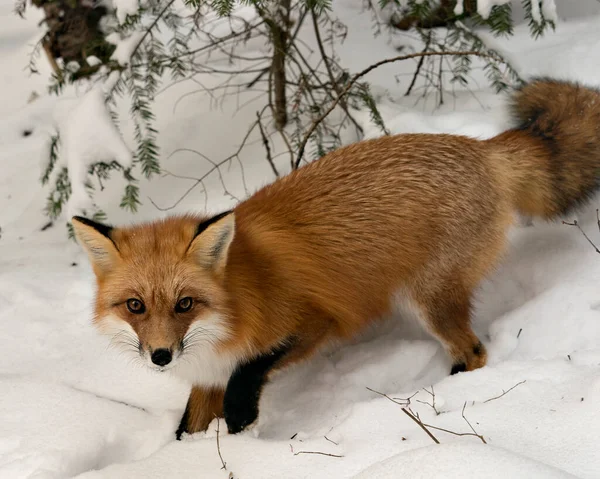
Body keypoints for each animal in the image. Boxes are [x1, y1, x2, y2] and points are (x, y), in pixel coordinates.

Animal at [72, 79, 600, 438]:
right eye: (135, 306)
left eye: (184, 304)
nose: (161, 356)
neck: (234, 302)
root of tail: (481, 147)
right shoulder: (207, 374)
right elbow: (188, 426)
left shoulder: (314, 322)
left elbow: (251, 372)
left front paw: (241, 424)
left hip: (429, 299)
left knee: (474, 352)